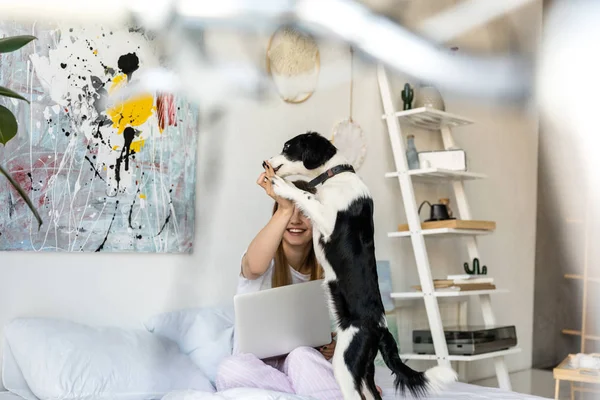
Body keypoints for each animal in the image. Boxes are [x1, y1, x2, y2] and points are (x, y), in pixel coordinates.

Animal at [266, 133, 454, 400]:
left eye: (287, 147)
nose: (265, 162)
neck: (335, 175)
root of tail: (380, 329)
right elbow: (308, 192)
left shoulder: (328, 223)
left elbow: (307, 196)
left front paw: (282, 186)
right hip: (363, 372)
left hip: (345, 362)